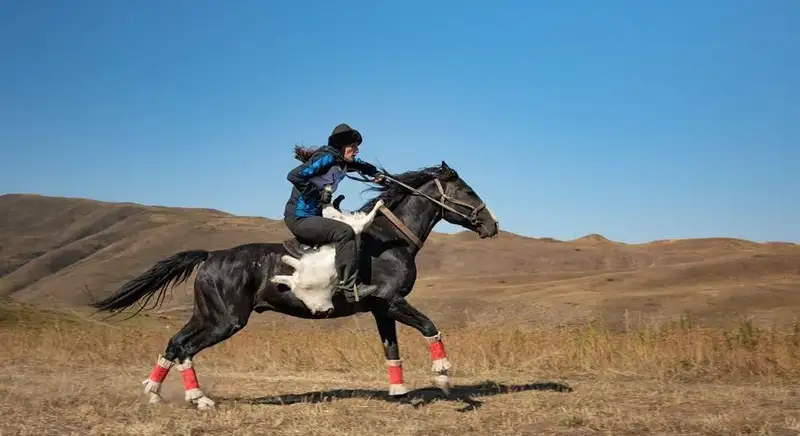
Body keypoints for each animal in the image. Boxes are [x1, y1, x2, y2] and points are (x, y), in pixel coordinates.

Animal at [89, 159, 500, 408]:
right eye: (467, 191)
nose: (492, 225)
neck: (389, 240)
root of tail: (210, 256)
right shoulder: (394, 301)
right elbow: (431, 327)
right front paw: (444, 378)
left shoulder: (382, 309)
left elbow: (391, 349)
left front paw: (400, 392)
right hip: (227, 320)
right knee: (186, 347)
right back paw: (197, 399)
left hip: (208, 315)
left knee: (176, 343)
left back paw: (156, 393)